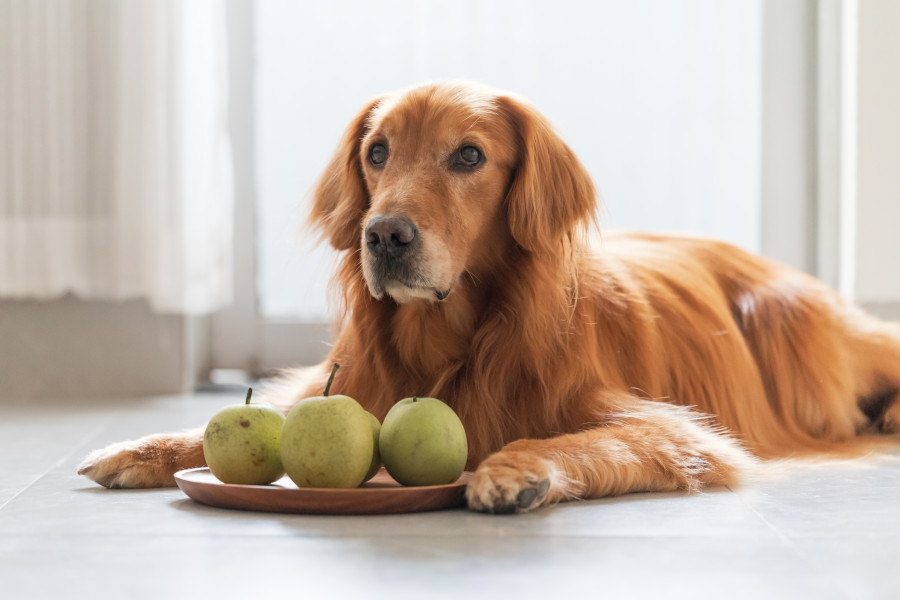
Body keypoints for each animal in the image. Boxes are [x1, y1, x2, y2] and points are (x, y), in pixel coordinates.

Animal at [77, 82, 900, 512]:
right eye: (377, 152)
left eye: (469, 156)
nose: (384, 235)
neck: (451, 340)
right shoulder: (340, 386)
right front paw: (142, 449)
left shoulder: (679, 432)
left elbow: (582, 439)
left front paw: (514, 469)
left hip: (806, 341)